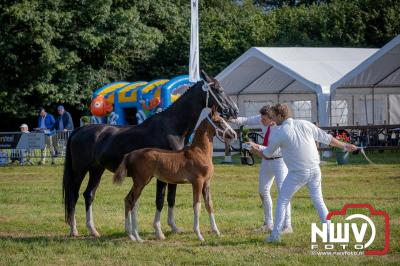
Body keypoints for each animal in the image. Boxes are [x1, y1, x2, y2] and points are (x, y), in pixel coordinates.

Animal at [112, 110, 236, 241]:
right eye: (219, 121)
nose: (233, 134)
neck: (200, 152)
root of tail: (131, 154)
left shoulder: (206, 183)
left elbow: (209, 204)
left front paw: (217, 232)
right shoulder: (197, 182)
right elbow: (197, 206)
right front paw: (199, 235)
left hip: (141, 182)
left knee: (130, 201)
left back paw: (133, 235)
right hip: (141, 181)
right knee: (132, 201)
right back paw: (135, 236)